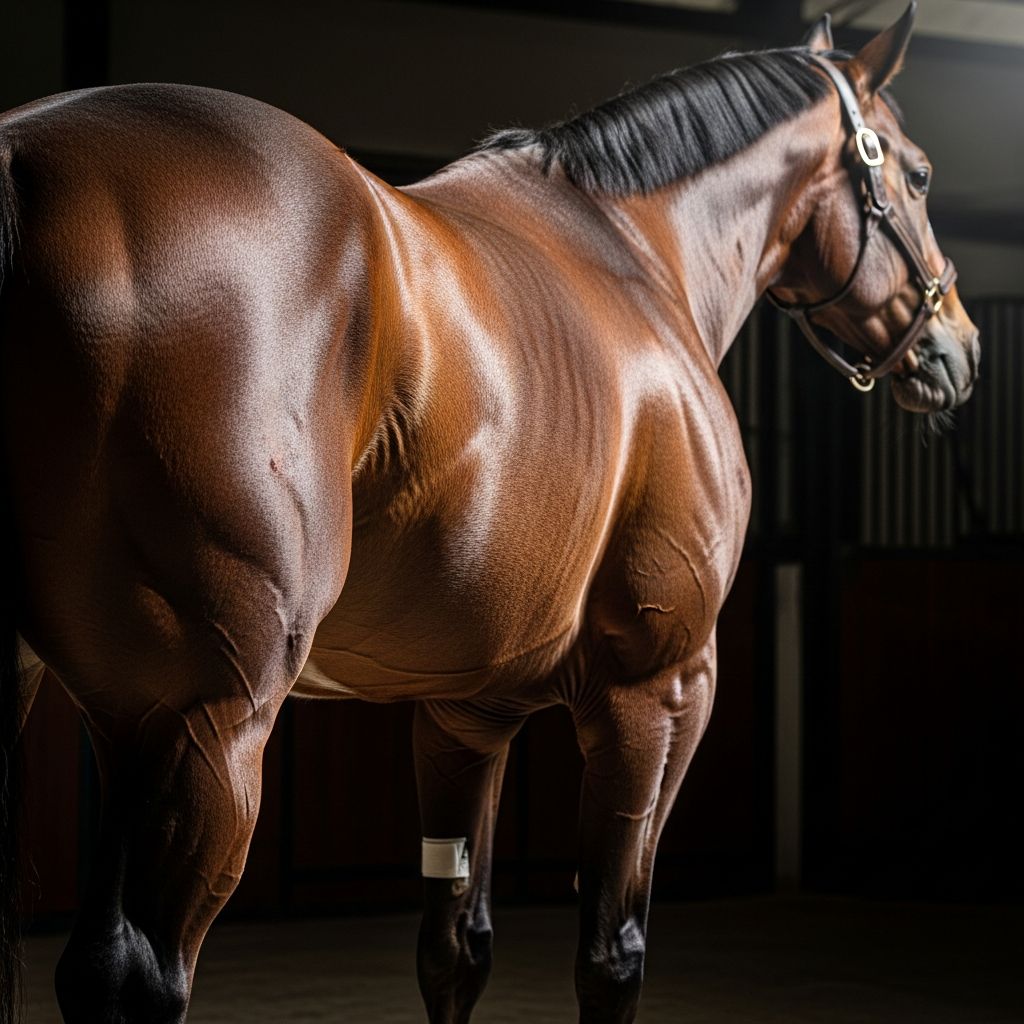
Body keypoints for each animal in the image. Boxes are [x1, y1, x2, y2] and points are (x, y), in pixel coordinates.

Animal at [0, 4, 979, 1022]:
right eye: (917, 174)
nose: (959, 348)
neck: (636, 253)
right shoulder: (660, 690)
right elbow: (613, 952)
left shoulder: (464, 715)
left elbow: (454, 950)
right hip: (205, 720)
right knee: (144, 972)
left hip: (99, 708)